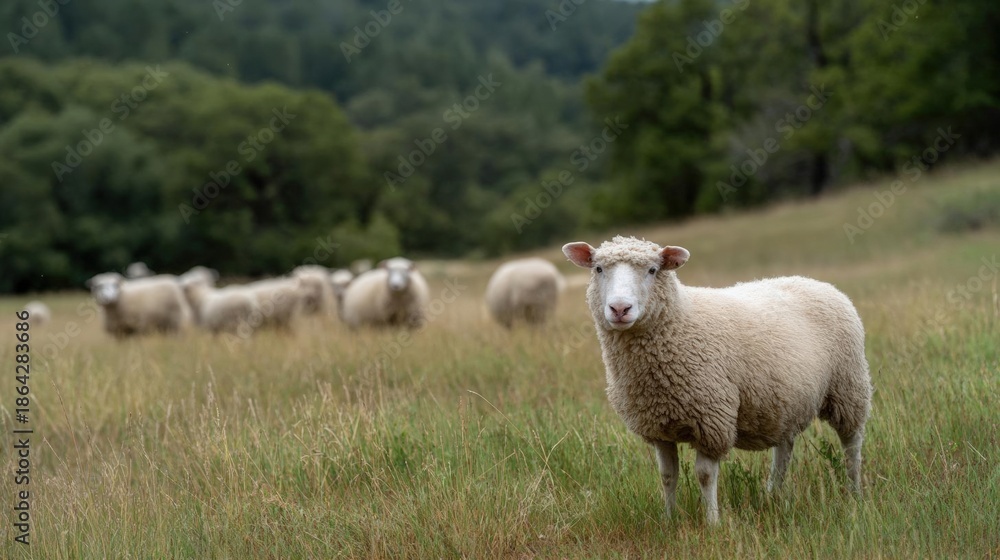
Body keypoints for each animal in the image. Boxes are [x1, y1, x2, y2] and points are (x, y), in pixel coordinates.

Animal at [562, 236, 872, 525]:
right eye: (598, 269)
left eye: (652, 270)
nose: (619, 309)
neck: (681, 320)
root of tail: (816, 282)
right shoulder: (659, 427)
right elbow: (667, 475)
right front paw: (669, 519)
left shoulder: (711, 420)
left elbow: (705, 475)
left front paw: (713, 522)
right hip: (785, 399)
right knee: (784, 450)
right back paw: (773, 494)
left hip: (848, 386)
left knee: (851, 445)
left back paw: (854, 493)